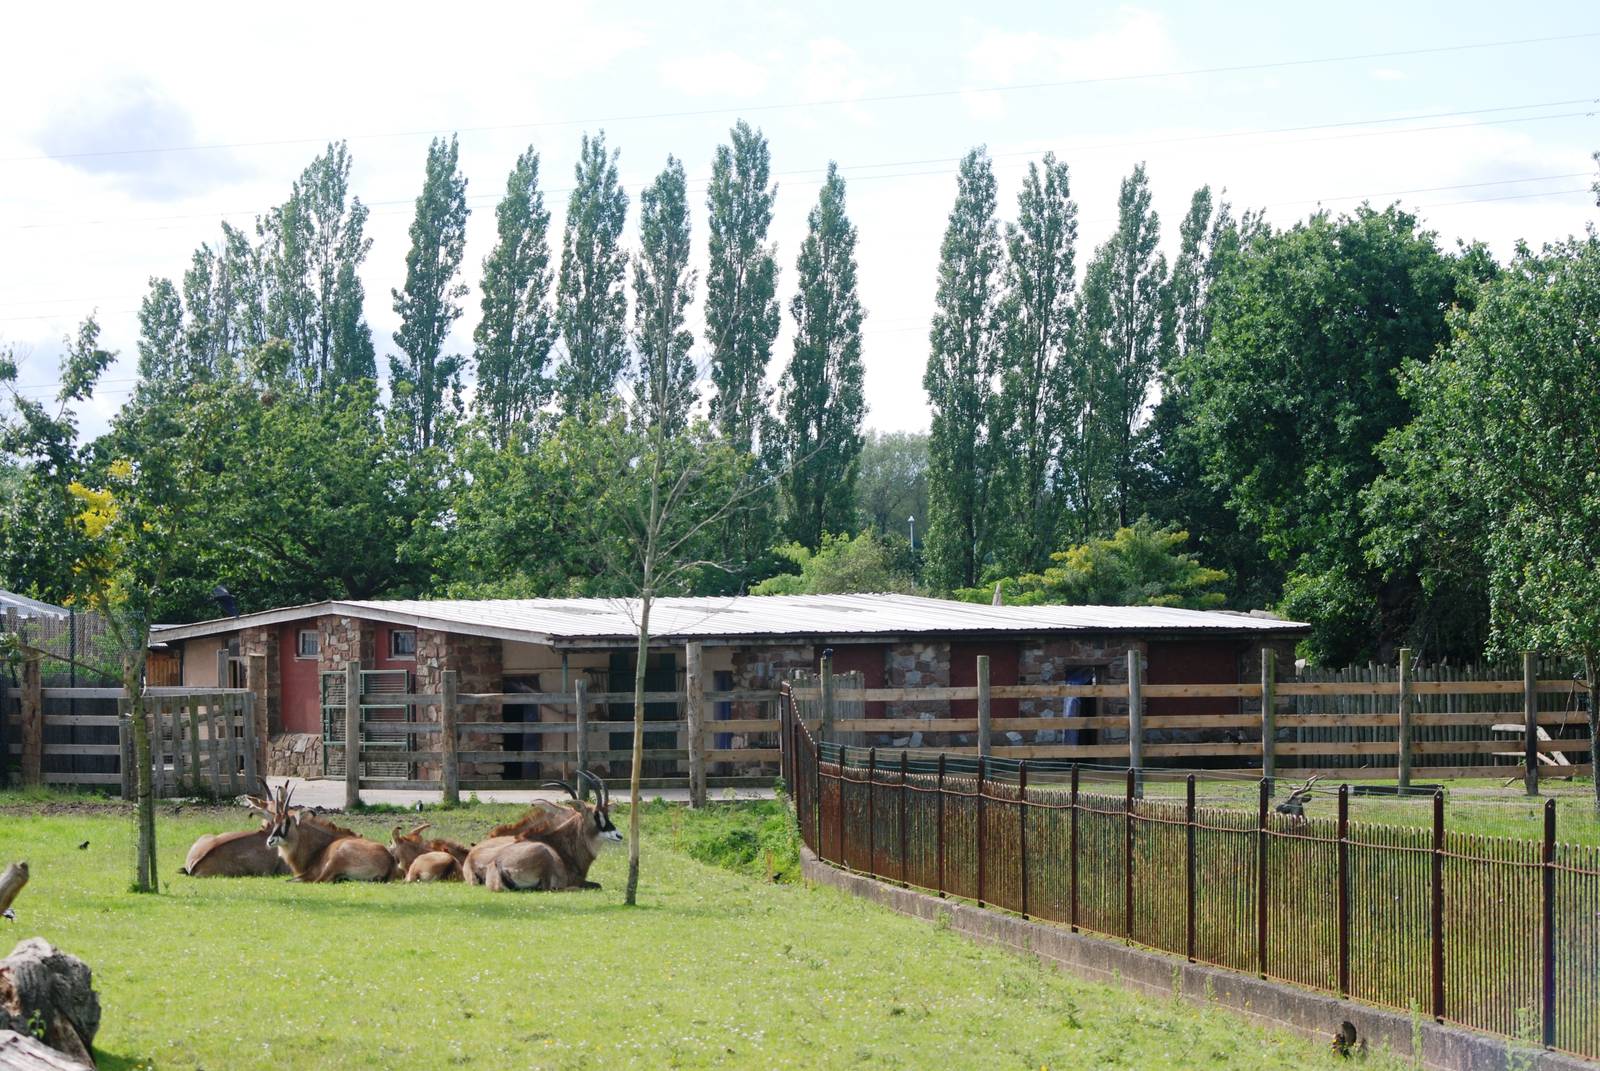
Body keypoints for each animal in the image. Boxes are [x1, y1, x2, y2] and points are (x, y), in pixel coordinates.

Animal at [261, 780, 396, 882]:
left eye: (288, 822)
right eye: (275, 821)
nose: (270, 841)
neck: (320, 847)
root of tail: (388, 860)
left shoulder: (310, 873)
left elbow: (289, 880)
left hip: (335, 861)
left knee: (318, 881)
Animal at [476, 772, 621, 892]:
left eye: (607, 814)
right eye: (596, 815)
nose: (619, 835)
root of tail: (500, 864)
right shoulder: (577, 879)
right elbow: (598, 885)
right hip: (544, 856)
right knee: (549, 888)